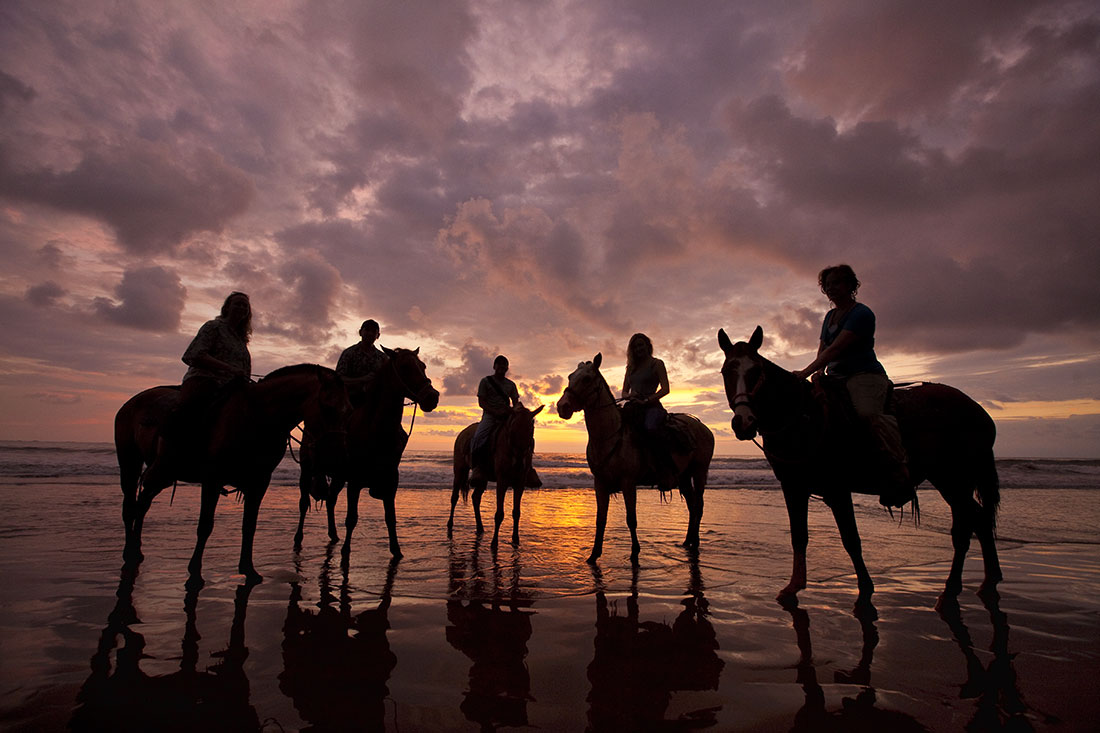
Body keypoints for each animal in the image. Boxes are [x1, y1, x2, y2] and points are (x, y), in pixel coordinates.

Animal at [115, 363, 347, 585]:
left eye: (348, 409)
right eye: (327, 407)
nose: (336, 456)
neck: (256, 418)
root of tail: (131, 403)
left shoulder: (258, 483)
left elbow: (249, 525)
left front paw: (248, 570)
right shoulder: (212, 479)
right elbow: (205, 526)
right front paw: (195, 573)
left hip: (164, 475)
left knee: (143, 502)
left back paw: (136, 549)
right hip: (131, 462)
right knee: (130, 506)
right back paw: (129, 552)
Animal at [301, 345, 442, 556]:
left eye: (423, 366)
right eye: (404, 366)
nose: (432, 397)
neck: (377, 430)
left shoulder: (391, 481)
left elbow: (390, 518)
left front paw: (396, 551)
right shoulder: (355, 481)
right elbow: (351, 519)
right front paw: (345, 552)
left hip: (338, 476)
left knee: (331, 499)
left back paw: (333, 534)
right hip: (307, 468)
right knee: (304, 504)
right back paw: (298, 538)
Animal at [448, 402, 543, 545]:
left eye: (531, 429)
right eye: (512, 431)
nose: (519, 463)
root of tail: (462, 433)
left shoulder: (519, 483)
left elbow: (516, 512)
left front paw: (515, 539)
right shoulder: (502, 481)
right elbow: (499, 514)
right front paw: (494, 543)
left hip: (482, 478)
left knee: (476, 498)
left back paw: (480, 528)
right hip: (459, 470)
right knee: (454, 498)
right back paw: (450, 525)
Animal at [554, 352, 717, 559]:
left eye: (587, 379)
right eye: (570, 377)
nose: (562, 406)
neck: (609, 435)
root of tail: (703, 427)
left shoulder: (628, 482)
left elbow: (631, 518)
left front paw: (635, 552)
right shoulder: (600, 483)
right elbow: (601, 519)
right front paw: (594, 555)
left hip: (699, 471)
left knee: (698, 506)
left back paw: (695, 542)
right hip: (684, 475)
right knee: (691, 505)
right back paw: (687, 541)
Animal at [717, 325, 1003, 603]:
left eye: (756, 371)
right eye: (725, 371)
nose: (744, 422)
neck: (801, 417)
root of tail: (977, 410)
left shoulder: (837, 488)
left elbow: (850, 539)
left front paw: (865, 588)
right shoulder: (793, 486)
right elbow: (799, 536)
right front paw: (793, 586)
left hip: (954, 478)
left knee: (966, 527)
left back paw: (957, 586)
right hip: (949, 480)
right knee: (977, 520)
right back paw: (987, 580)